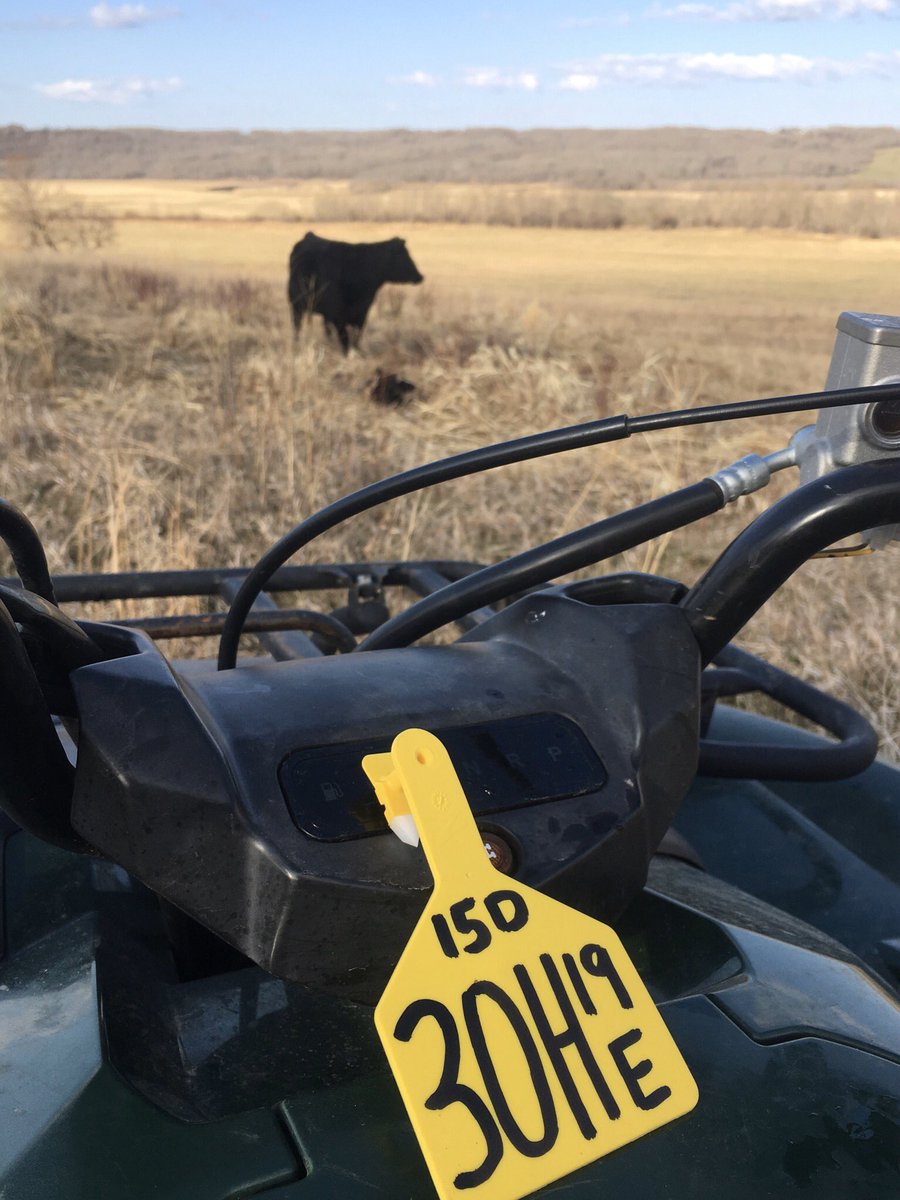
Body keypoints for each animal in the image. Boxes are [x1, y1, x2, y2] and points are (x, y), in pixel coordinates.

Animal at [288, 232, 424, 353]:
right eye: (404, 255)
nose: (420, 276)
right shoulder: (338, 314)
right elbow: (345, 340)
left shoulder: (361, 313)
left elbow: (356, 338)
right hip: (297, 306)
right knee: (297, 327)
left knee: (327, 330)